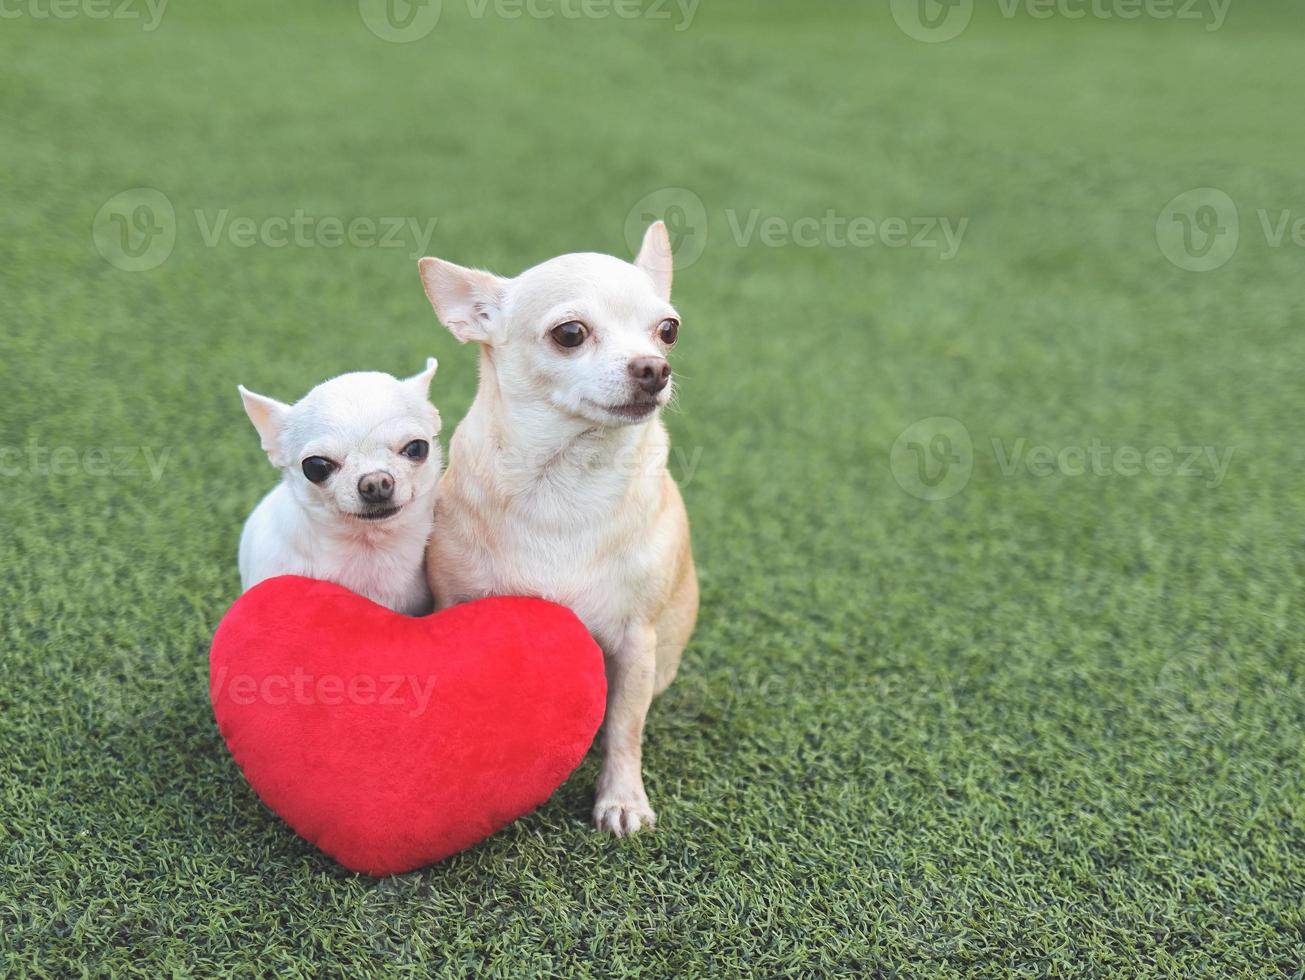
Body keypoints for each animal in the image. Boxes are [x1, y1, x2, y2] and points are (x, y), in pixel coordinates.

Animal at [422, 221, 699, 835]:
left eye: (668, 330)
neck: (567, 478)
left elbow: (624, 730)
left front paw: (622, 800)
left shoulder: (635, 641)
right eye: (570, 333)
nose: (655, 367)